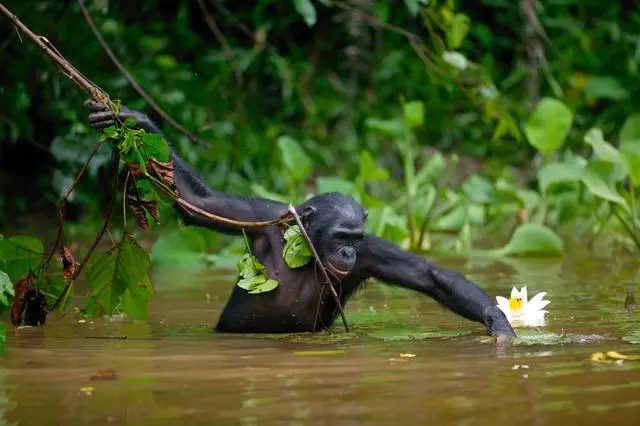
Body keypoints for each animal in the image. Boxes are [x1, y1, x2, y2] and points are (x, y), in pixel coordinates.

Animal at [84, 101, 516, 338]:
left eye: (355, 239)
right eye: (341, 236)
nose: (347, 252)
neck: (309, 251)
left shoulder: (374, 252)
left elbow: (429, 275)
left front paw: (498, 322)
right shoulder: (259, 217)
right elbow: (197, 202)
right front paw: (140, 123)